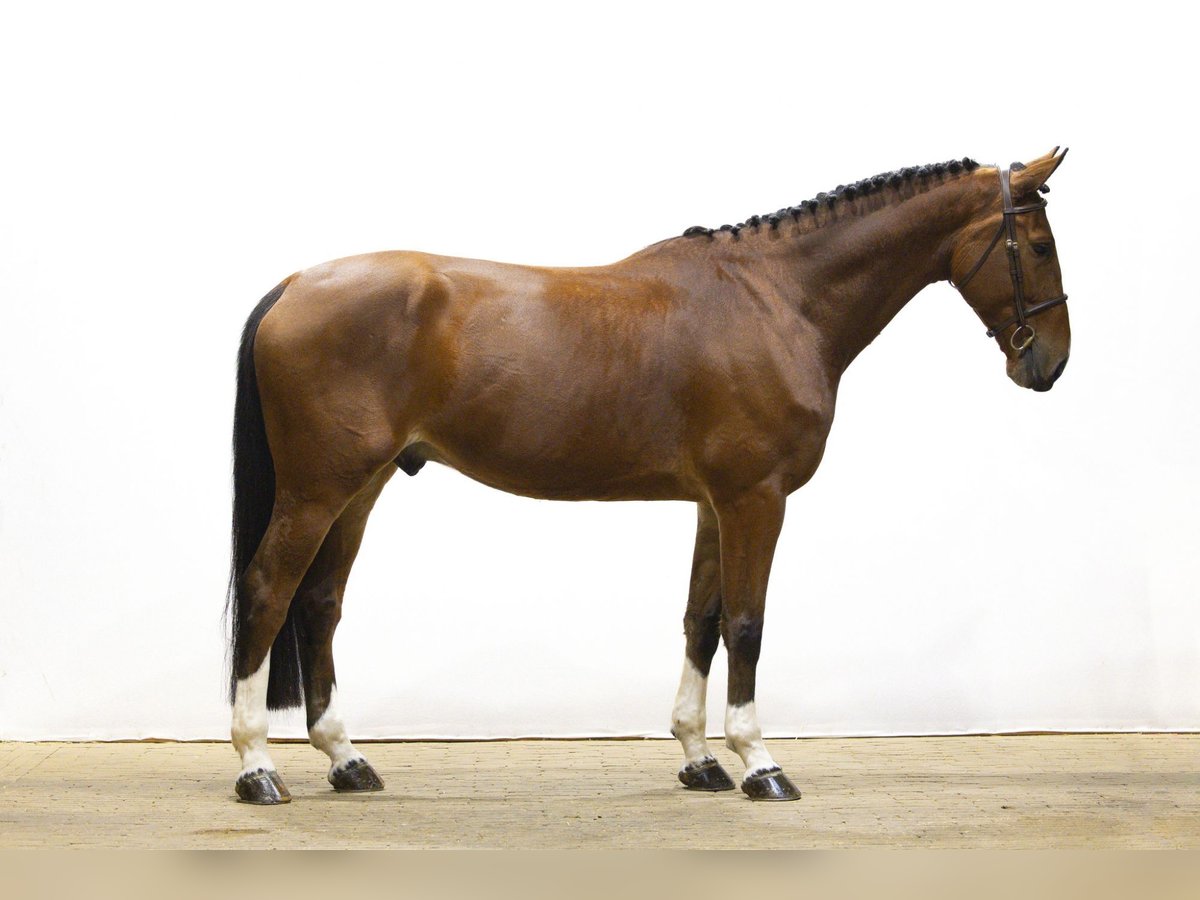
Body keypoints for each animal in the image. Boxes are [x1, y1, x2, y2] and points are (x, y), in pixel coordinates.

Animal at [227, 148, 1071, 804]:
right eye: (1036, 245)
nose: (1050, 364)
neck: (777, 301)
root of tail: (295, 284)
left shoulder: (713, 505)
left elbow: (702, 618)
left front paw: (699, 758)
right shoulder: (755, 500)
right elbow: (747, 624)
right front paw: (759, 763)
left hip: (358, 489)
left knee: (320, 603)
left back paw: (346, 759)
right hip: (317, 491)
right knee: (269, 592)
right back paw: (257, 767)